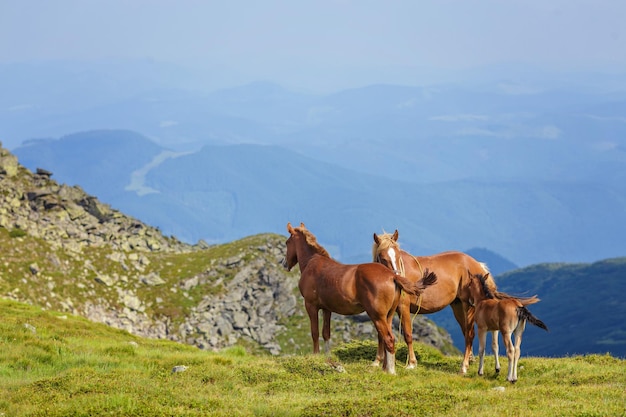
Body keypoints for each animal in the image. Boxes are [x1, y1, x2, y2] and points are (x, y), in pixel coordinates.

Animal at [280, 223, 436, 372]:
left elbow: (314, 332)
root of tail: (393, 276)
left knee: (389, 339)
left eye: (287, 242)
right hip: (389, 315)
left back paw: (391, 371)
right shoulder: (327, 309)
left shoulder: (311, 305)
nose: (285, 264)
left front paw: (316, 356)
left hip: (377, 316)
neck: (312, 263)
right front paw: (327, 358)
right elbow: (326, 333)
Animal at [370, 229, 502, 372]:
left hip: (469, 306)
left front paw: (411, 363)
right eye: (383, 258)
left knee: (470, 334)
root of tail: (477, 265)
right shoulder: (382, 311)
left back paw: (464, 365)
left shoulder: (403, 308)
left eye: (398, 256)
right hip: (458, 306)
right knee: (466, 332)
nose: (399, 278)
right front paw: (377, 361)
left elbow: (408, 334)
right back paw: (470, 360)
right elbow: (381, 334)